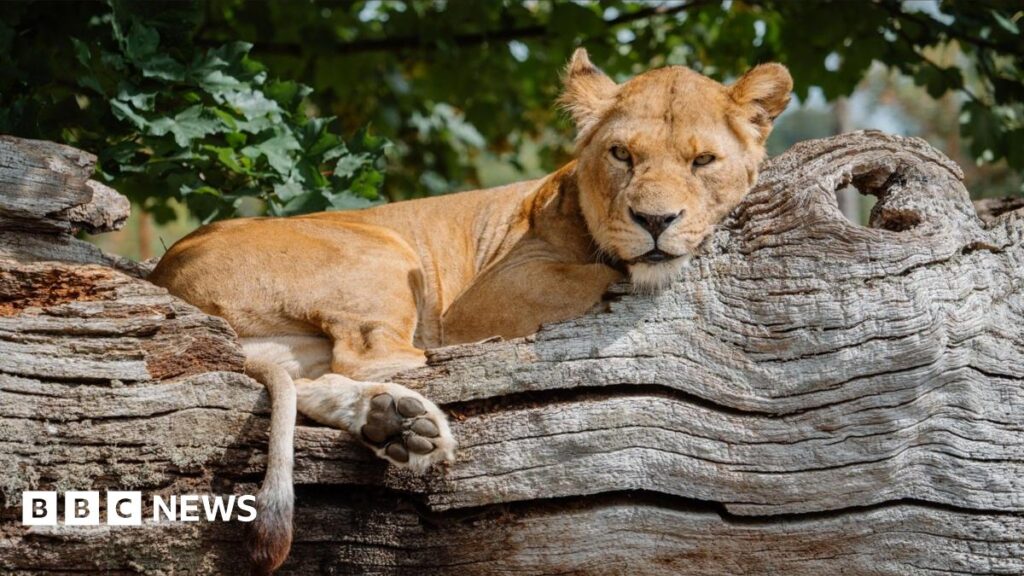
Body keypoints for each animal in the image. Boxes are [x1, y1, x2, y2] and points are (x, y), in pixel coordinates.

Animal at [149, 49, 791, 574]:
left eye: (703, 161)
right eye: (621, 154)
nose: (655, 221)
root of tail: (166, 272)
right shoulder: (485, 296)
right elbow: (605, 272)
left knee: (318, 379)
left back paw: (397, 423)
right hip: (387, 251)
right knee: (377, 356)